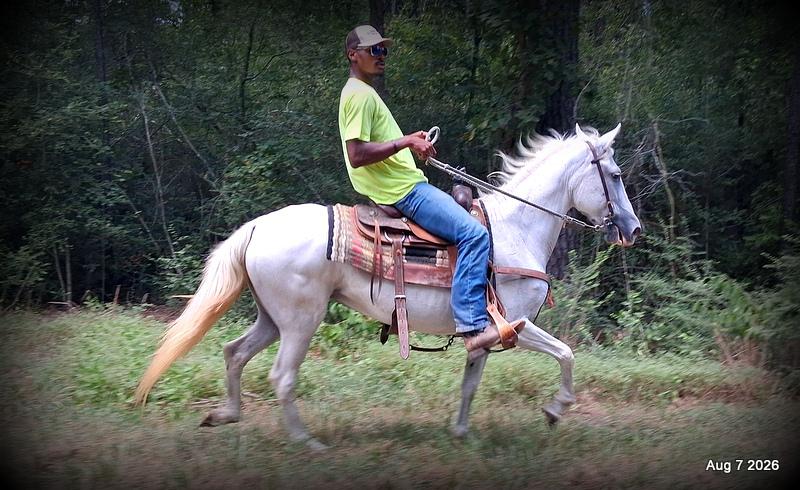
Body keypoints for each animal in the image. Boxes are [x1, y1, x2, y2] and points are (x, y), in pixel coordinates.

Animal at [135, 123, 641, 450]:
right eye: (615, 176)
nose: (633, 229)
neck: (514, 230)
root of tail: (258, 227)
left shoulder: (484, 332)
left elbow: (470, 385)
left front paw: (461, 434)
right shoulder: (515, 322)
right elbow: (566, 354)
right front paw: (555, 410)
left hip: (272, 317)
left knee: (234, 353)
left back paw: (225, 414)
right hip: (300, 320)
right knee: (281, 375)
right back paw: (306, 442)